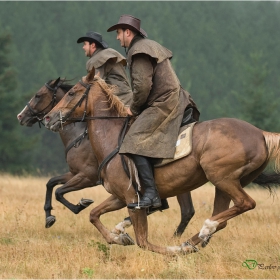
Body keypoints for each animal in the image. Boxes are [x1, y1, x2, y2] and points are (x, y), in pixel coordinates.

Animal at [16, 78, 196, 238]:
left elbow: (59, 192)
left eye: (38, 95)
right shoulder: (74, 173)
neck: (80, 136)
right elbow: (51, 183)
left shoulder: (87, 177)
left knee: (184, 211)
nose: (20, 116)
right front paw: (49, 217)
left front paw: (80, 205)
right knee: (185, 210)